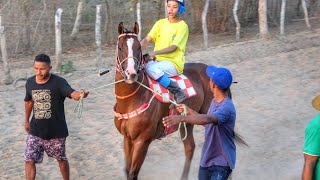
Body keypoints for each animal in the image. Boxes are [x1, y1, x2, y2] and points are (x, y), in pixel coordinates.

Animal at [114, 22, 241, 180]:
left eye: (138, 47)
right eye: (120, 47)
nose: (131, 73)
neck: (132, 100)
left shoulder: (142, 141)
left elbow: (132, 173)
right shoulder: (127, 138)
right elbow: (127, 170)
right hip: (187, 122)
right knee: (190, 148)